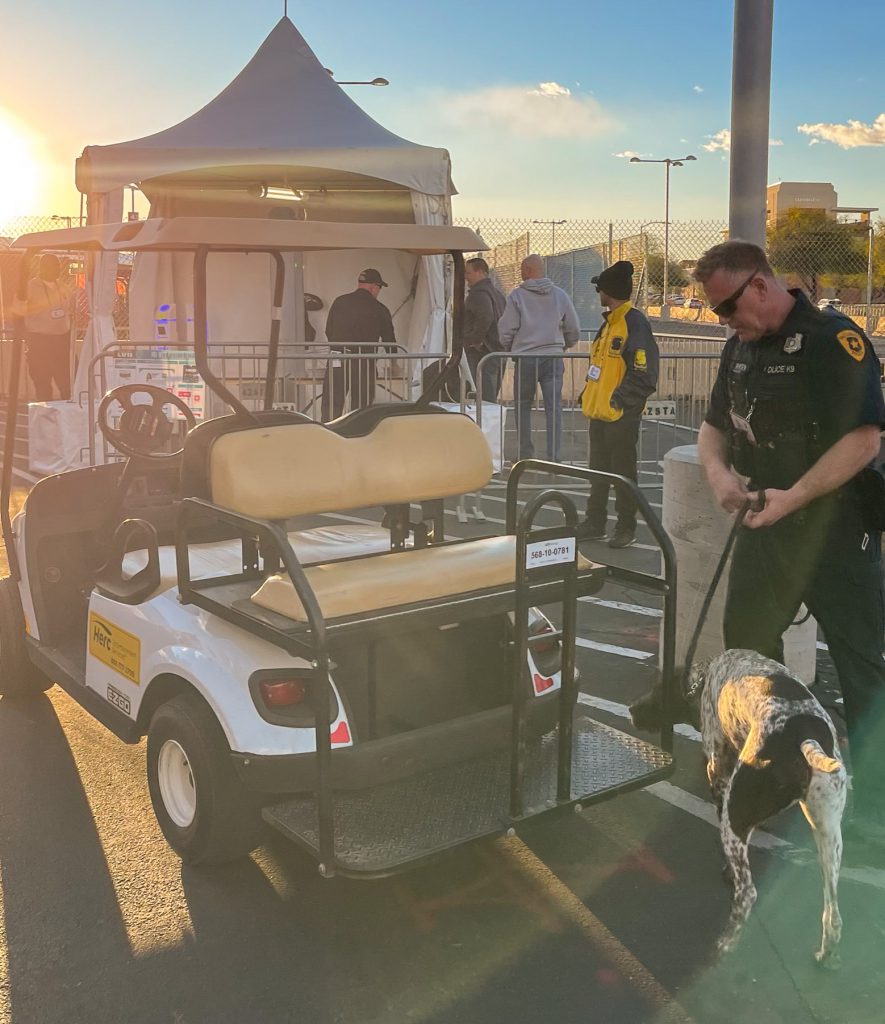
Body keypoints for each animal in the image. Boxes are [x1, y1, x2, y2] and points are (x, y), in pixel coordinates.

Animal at [630, 647, 844, 966]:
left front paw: (726, 871)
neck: (703, 680)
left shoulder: (718, 773)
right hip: (828, 836)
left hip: (737, 818)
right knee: (833, 908)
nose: (631, 709)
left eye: (658, 689)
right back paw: (827, 954)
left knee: (748, 894)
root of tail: (804, 738)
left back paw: (724, 946)